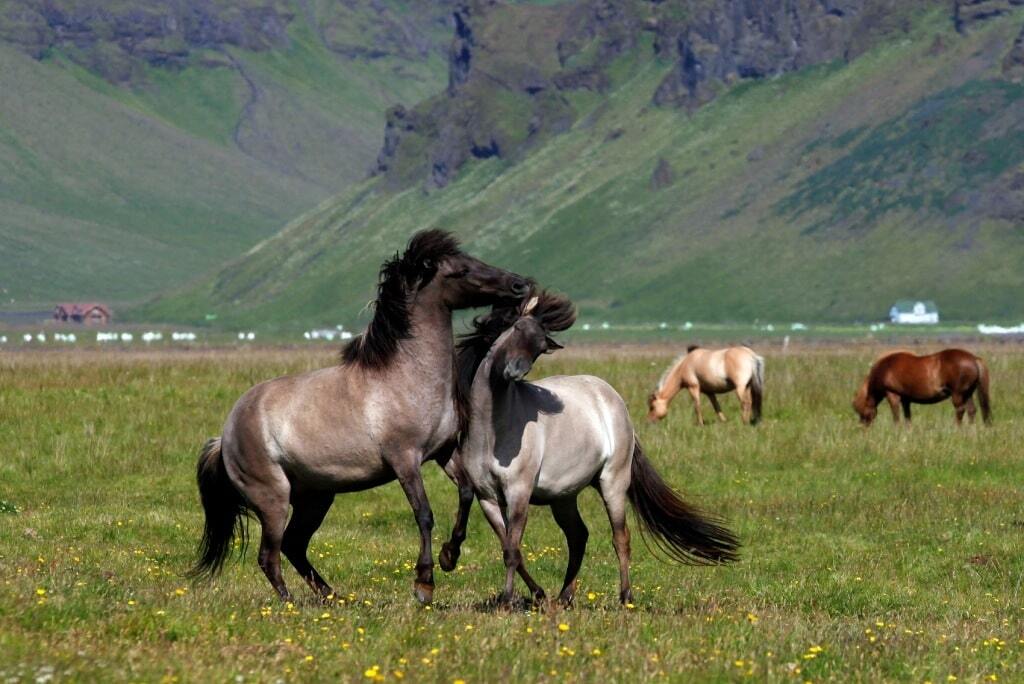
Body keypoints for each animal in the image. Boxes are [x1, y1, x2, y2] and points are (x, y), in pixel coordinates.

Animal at [187, 231, 532, 602]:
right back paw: (290, 602)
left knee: (294, 545)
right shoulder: (404, 459)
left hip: (315, 497)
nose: (519, 284)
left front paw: (449, 556)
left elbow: (466, 493)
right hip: (273, 498)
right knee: (269, 555)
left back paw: (331, 597)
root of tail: (225, 435)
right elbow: (424, 514)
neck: (409, 377)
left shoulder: (442, 453)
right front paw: (424, 582)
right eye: (463, 270)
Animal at [436, 290, 741, 606]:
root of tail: (613, 399)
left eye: (541, 348)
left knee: (621, 538)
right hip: (563, 496)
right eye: (517, 328)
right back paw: (564, 597)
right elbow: (512, 548)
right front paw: (531, 594)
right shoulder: (487, 496)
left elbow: (511, 550)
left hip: (612, 483)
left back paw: (625, 597)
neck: (493, 429)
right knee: (578, 536)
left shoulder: (518, 493)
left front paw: (508, 600)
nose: (514, 372)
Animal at [856, 350, 991, 423]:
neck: (885, 369)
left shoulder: (892, 395)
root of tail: (974, 358)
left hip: (958, 394)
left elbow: (896, 417)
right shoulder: (906, 399)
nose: (864, 429)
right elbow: (907, 417)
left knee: (960, 410)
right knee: (971, 410)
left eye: (862, 413)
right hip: (968, 394)